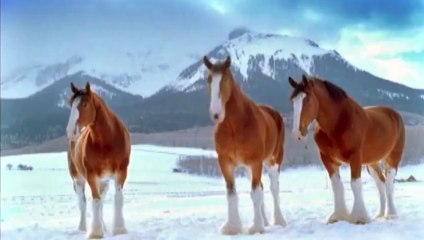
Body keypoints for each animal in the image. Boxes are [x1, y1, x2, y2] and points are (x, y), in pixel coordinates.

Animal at [66, 82, 131, 238]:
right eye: (71, 104)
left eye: (84, 104)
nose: (70, 131)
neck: (107, 141)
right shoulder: (91, 175)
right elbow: (95, 201)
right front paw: (95, 232)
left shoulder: (121, 172)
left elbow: (117, 199)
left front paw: (119, 230)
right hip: (78, 180)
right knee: (82, 203)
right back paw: (83, 227)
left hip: (104, 181)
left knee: (101, 202)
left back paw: (104, 227)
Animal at [204, 55, 286, 233]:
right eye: (209, 79)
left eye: (225, 79)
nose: (216, 114)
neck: (235, 126)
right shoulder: (226, 162)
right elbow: (232, 193)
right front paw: (232, 227)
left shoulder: (255, 162)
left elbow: (255, 193)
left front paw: (256, 228)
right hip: (250, 167)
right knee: (262, 187)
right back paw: (265, 221)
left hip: (272, 161)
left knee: (274, 188)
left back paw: (279, 221)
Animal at [288, 74, 404, 224]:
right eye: (292, 101)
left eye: (306, 99)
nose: (297, 133)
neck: (339, 123)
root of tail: (395, 114)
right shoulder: (327, 159)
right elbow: (337, 186)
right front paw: (338, 216)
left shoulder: (355, 158)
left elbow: (355, 185)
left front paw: (359, 217)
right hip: (372, 163)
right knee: (381, 183)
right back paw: (379, 214)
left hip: (393, 158)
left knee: (389, 183)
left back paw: (391, 214)